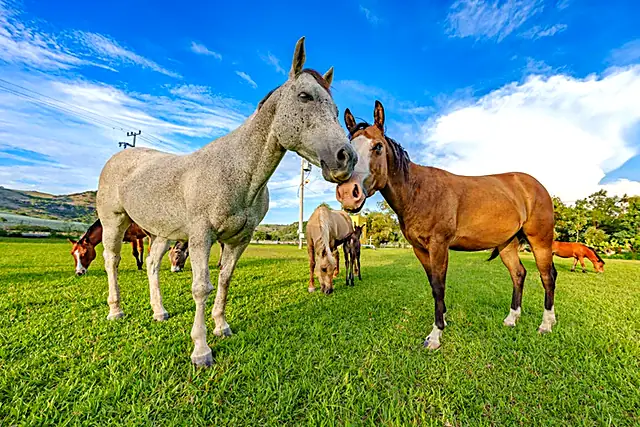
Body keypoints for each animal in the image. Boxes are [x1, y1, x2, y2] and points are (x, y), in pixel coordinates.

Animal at [95, 37, 356, 367]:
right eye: (305, 96)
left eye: (335, 109)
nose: (346, 157)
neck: (236, 170)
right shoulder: (201, 237)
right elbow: (201, 288)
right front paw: (201, 349)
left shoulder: (238, 240)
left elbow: (224, 280)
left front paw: (221, 327)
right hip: (114, 222)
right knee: (112, 261)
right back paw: (115, 310)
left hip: (161, 233)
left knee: (153, 265)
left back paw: (159, 312)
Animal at [336, 101, 558, 350]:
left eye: (378, 147)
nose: (348, 193)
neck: (418, 191)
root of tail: (535, 185)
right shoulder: (421, 250)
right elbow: (433, 285)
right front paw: (442, 319)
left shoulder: (439, 246)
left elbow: (439, 286)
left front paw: (435, 334)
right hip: (507, 244)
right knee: (518, 274)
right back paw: (512, 318)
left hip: (540, 241)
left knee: (547, 276)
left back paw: (546, 323)